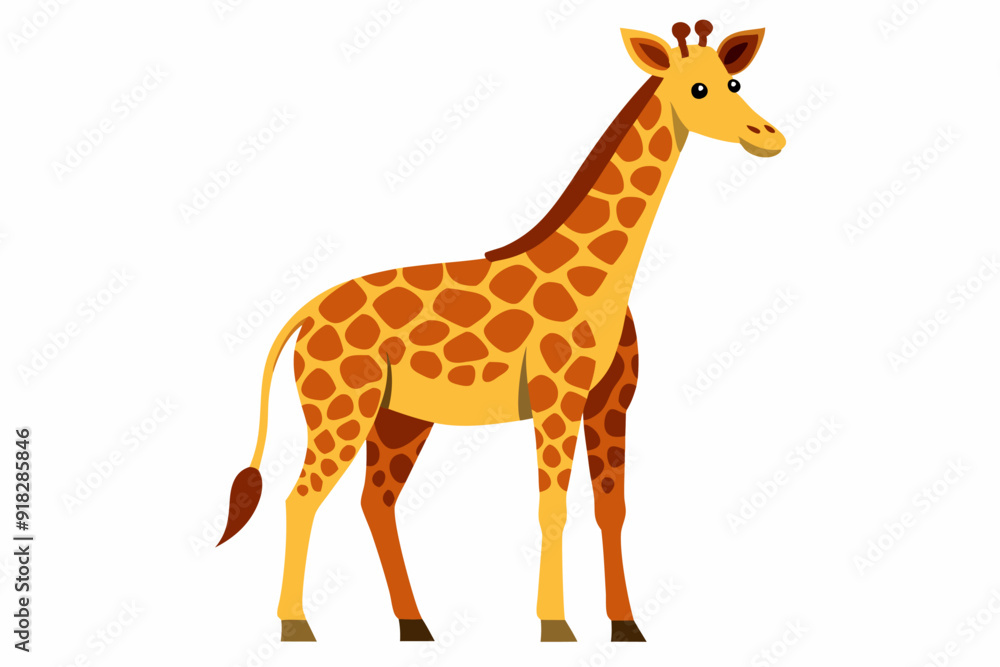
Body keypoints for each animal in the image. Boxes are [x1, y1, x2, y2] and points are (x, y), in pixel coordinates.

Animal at [217, 21, 785, 643]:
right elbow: (552, 507)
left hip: (400, 417)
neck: (605, 280)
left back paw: (414, 624)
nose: (769, 136)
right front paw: (555, 625)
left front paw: (625, 625)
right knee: (302, 498)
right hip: (341, 407)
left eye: (735, 81)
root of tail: (306, 312)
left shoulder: (611, 403)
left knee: (375, 501)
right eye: (699, 89)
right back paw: (297, 626)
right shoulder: (555, 397)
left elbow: (611, 509)